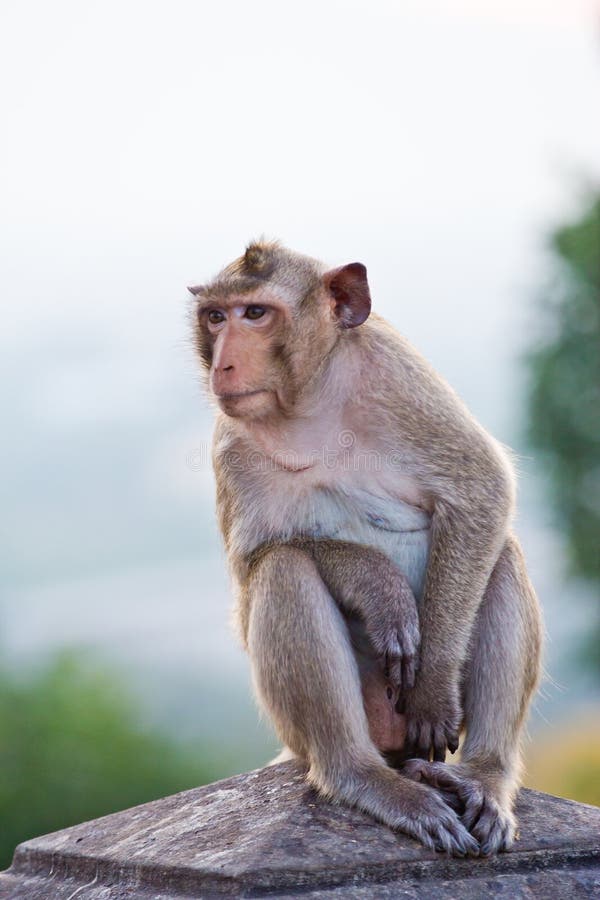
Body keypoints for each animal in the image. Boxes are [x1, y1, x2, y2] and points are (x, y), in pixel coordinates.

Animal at [188, 240, 543, 857]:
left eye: (255, 313)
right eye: (215, 317)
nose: (223, 365)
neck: (309, 404)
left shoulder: (397, 375)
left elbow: (481, 490)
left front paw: (433, 688)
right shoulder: (229, 443)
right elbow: (254, 562)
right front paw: (377, 586)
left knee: (499, 555)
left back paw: (485, 777)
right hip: (309, 732)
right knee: (284, 569)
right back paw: (361, 775)